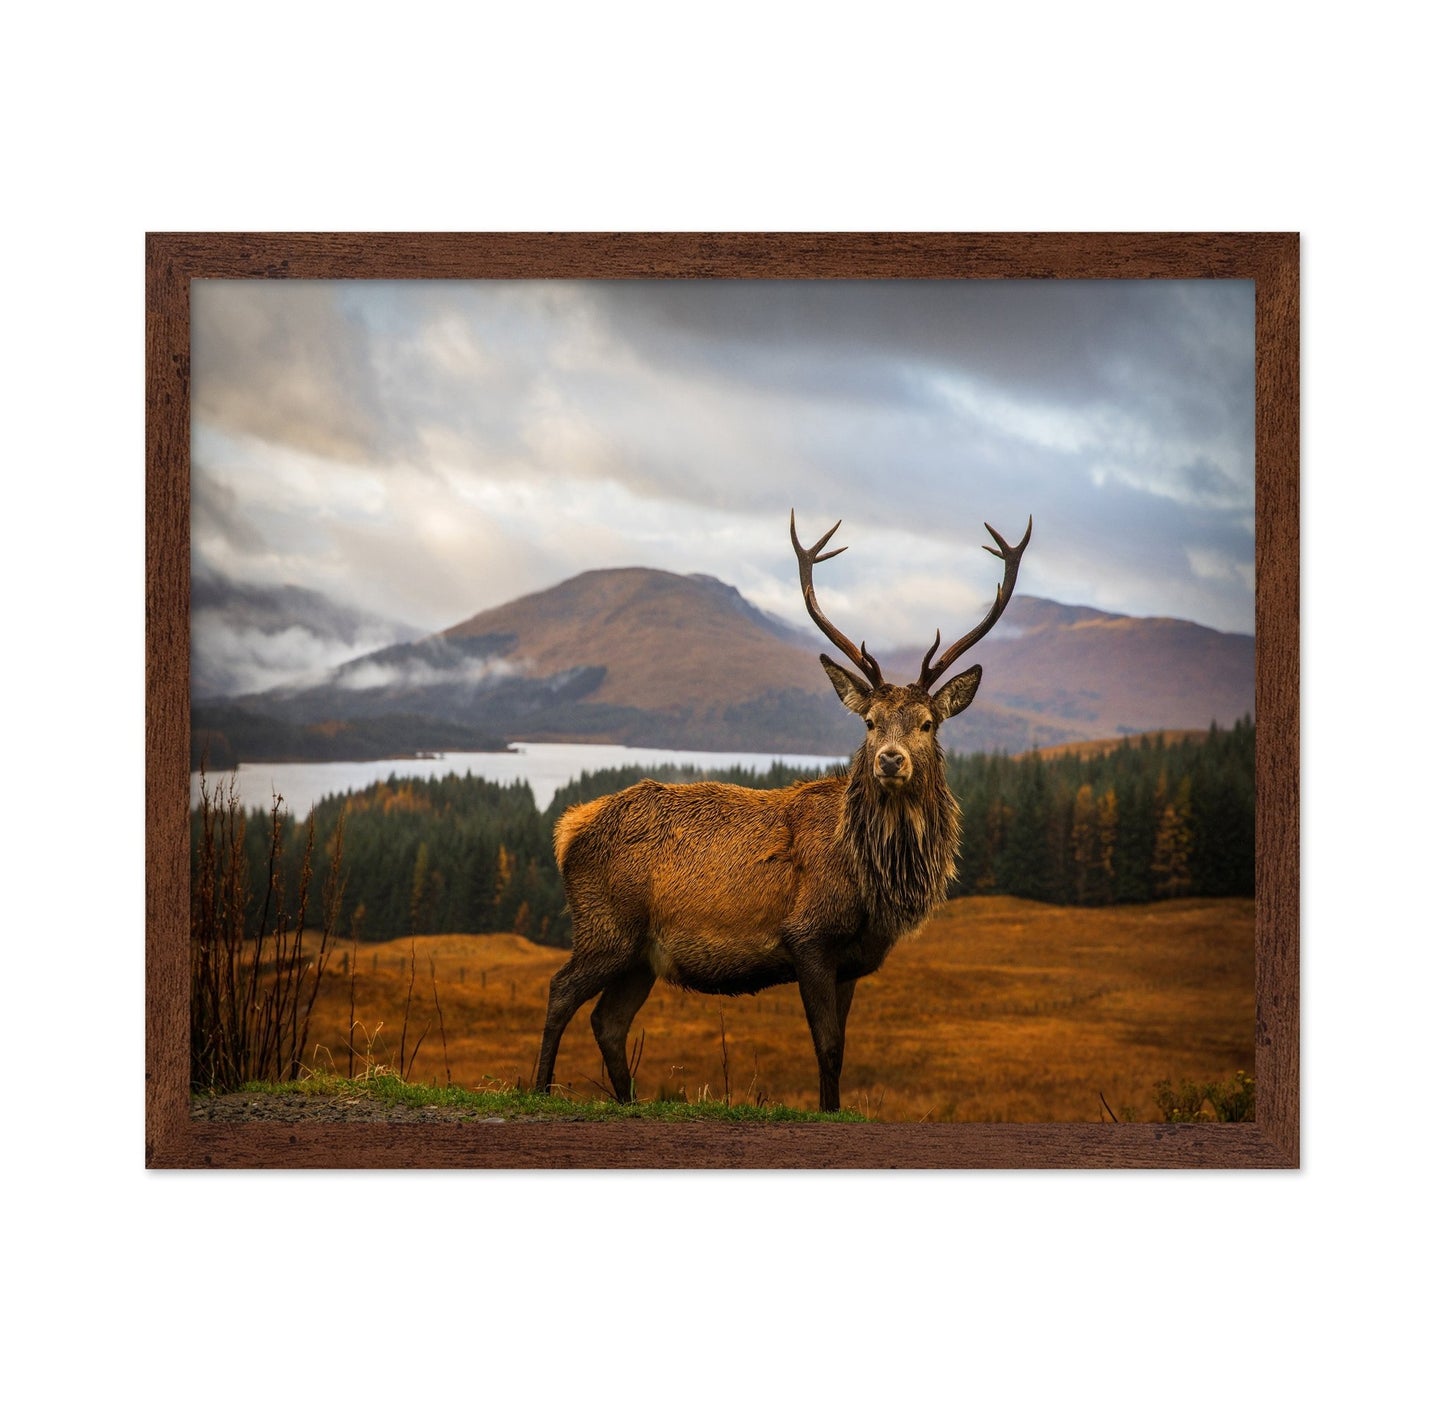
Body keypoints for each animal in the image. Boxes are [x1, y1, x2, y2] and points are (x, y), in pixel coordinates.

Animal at [534, 509, 1032, 1112]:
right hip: (606, 926)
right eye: (869, 722)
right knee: (560, 991)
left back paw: (627, 1101)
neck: (874, 884)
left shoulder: (852, 961)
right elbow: (827, 1046)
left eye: (927, 723)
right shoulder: (808, 937)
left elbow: (841, 1047)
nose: (890, 760)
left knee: (609, 1021)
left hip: (640, 955)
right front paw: (826, 1108)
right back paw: (538, 1089)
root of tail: (568, 828)